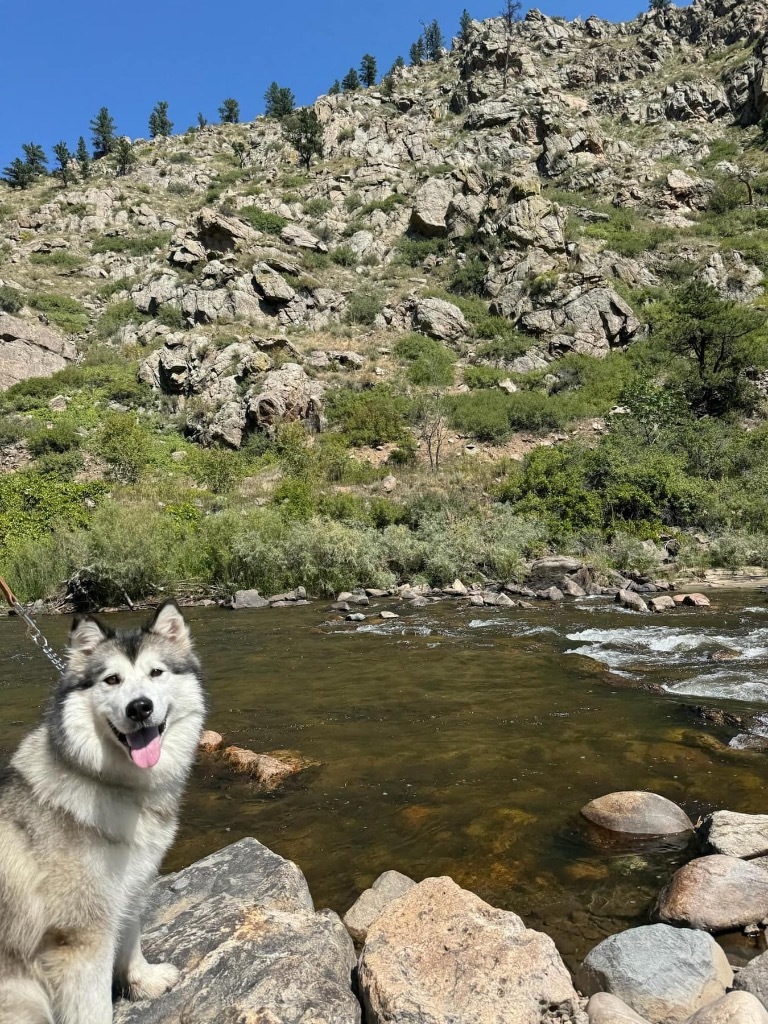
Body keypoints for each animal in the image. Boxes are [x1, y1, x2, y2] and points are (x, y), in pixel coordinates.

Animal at [0, 598, 205, 1024]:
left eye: (156, 672)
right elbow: (93, 1007)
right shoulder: (81, 939)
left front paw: (143, 981)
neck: (109, 783)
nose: (140, 707)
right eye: (111, 680)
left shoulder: (130, 887)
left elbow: (130, 940)